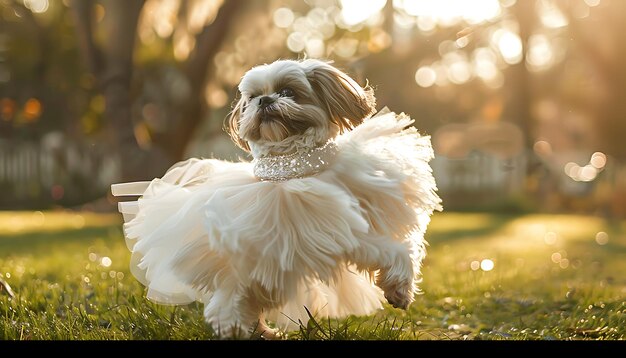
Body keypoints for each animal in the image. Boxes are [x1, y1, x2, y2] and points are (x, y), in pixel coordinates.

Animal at [113, 58, 444, 338]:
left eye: (288, 92)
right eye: (251, 98)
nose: (265, 100)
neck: (292, 165)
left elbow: (401, 247)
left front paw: (400, 288)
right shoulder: (339, 230)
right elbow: (392, 250)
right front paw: (399, 287)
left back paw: (260, 331)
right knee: (229, 304)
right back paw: (242, 328)